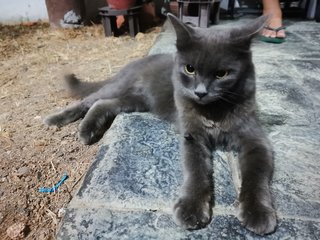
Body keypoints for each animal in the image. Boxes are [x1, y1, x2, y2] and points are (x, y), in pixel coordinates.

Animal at [43, 14, 276, 235]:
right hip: (120, 87)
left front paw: (258, 213)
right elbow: (196, 170)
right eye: (190, 69)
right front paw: (191, 209)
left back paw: (88, 130)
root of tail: (139, 60)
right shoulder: (192, 136)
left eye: (222, 74)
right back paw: (59, 121)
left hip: (137, 100)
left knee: (103, 104)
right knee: (89, 100)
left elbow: (256, 176)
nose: (200, 92)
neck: (213, 111)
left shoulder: (255, 139)